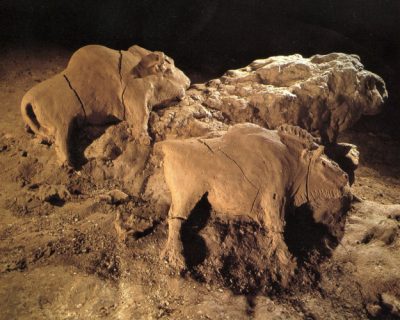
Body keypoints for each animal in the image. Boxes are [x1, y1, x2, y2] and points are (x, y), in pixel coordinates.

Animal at [158, 123, 352, 284]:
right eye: (323, 163)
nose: (345, 176)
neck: (293, 160)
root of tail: (168, 146)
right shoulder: (275, 198)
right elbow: (277, 227)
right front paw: (287, 260)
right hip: (186, 196)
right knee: (175, 221)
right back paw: (176, 258)